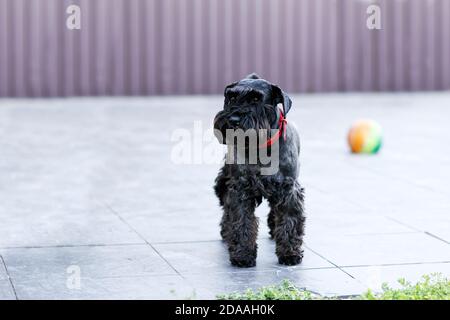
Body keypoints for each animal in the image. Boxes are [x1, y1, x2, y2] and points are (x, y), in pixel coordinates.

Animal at [214, 74, 306, 268]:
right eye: (231, 97)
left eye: (256, 99)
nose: (233, 120)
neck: (260, 146)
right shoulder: (240, 189)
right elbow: (241, 221)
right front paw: (242, 255)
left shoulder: (289, 190)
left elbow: (289, 220)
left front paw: (289, 253)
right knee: (226, 210)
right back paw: (226, 233)